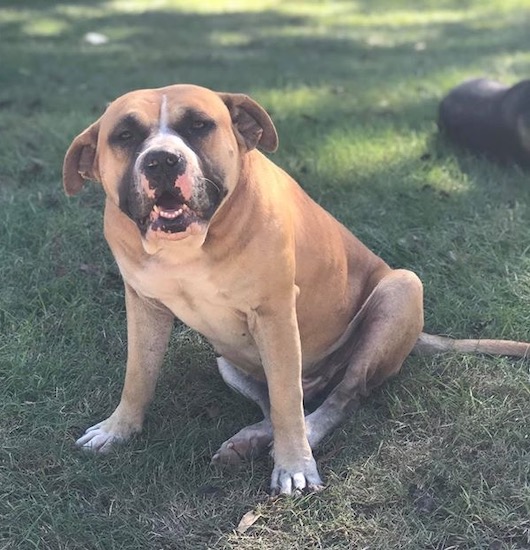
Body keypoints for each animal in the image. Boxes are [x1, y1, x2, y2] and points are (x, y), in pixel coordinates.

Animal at [63, 84, 528, 498]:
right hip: (228, 360)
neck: (190, 247)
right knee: (278, 403)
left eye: (199, 125)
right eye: (125, 135)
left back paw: (304, 433)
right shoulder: (145, 308)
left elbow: (288, 402)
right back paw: (249, 440)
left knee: (336, 398)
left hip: (400, 290)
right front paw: (118, 428)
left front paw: (294, 466)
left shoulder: (274, 317)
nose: (161, 160)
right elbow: (138, 375)